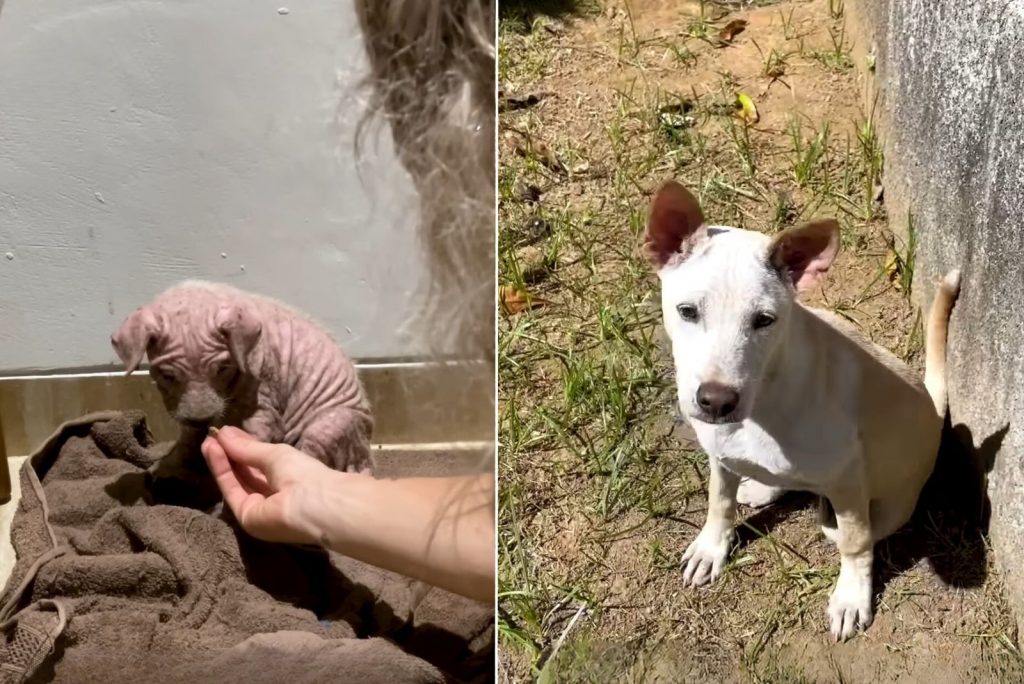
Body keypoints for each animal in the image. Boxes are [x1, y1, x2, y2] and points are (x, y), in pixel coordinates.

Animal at [112, 278, 376, 497]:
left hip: (335, 426)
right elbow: (187, 440)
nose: (201, 419)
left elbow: (256, 433)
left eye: (222, 368)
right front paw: (166, 467)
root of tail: (367, 459)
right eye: (167, 375)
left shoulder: (263, 402)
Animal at [647, 179, 958, 638]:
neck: (763, 404)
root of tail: (935, 412)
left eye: (764, 320)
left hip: (892, 502)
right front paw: (711, 546)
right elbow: (719, 499)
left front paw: (851, 596)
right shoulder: (720, 454)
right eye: (687, 311)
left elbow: (855, 542)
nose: (716, 401)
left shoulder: (847, 476)